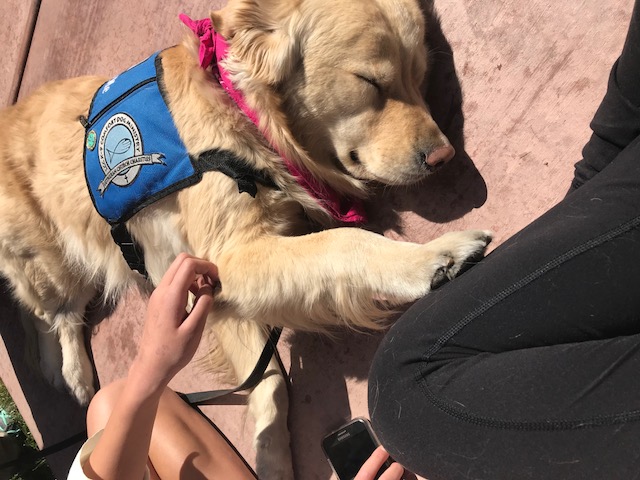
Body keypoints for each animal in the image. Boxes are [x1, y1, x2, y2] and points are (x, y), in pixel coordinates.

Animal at [0, 0, 492, 474]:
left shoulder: (215, 284)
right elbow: (343, 243)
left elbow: (269, 381)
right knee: (53, 313)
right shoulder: (226, 256)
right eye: (369, 82)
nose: (445, 156)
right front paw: (433, 256)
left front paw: (269, 459)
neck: (246, 114)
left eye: (421, 76)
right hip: (52, 261)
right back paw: (72, 373)